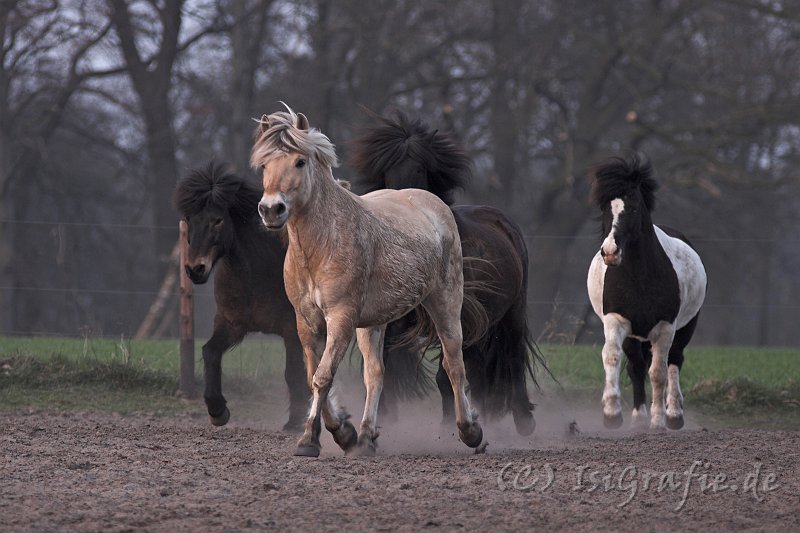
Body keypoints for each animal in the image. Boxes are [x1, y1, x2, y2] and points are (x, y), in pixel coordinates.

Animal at [253, 106, 484, 456]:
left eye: (300, 162)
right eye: (265, 164)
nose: (271, 209)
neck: (321, 245)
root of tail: (433, 204)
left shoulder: (341, 319)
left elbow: (323, 376)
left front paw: (310, 439)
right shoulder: (306, 322)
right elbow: (314, 376)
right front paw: (343, 433)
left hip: (445, 303)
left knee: (454, 364)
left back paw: (470, 432)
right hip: (373, 323)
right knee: (375, 374)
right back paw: (365, 437)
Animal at [354, 110, 548, 434]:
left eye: (419, 168)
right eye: (386, 170)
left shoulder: (457, 318)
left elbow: (446, 375)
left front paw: (451, 425)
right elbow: (385, 369)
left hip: (511, 314)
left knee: (513, 357)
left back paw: (523, 420)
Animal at [588, 156, 708, 430]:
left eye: (633, 208)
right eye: (605, 208)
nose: (610, 252)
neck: (639, 278)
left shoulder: (665, 327)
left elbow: (659, 372)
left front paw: (659, 421)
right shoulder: (617, 320)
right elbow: (613, 357)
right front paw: (612, 414)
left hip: (684, 329)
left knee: (674, 361)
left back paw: (673, 414)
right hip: (635, 335)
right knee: (636, 365)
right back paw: (638, 417)